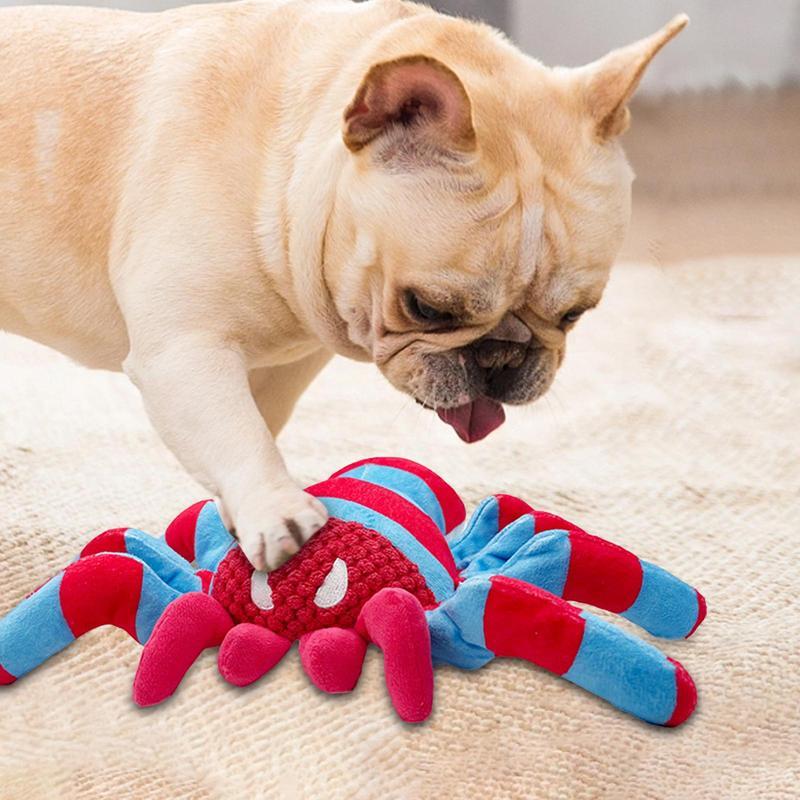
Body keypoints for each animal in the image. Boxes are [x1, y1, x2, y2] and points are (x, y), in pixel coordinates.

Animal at [0, 3, 688, 572]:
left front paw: (236, 513)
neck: (281, 163)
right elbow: (236, 431)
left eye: (575, 315)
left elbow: (255, 422)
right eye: (427, 307)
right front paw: (277, 511)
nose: (501, 356)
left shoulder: (287, 365)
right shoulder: (183, 351)